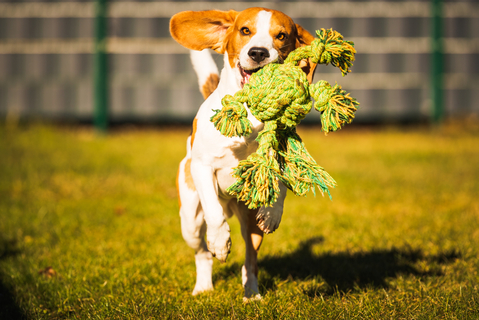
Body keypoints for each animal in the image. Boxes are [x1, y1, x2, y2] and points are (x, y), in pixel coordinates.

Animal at [170, 6, 318, 300]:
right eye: (245, 30)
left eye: (281, 35)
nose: (258, 52)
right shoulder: (202, 166)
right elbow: (214, 214)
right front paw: (220, 242)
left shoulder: (282, 153)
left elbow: (279, 184)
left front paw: (272, 211)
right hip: (190, 220)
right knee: (202, 253)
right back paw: (203, 286)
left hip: (251, 224)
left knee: (250, 260)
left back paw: (251, 293)